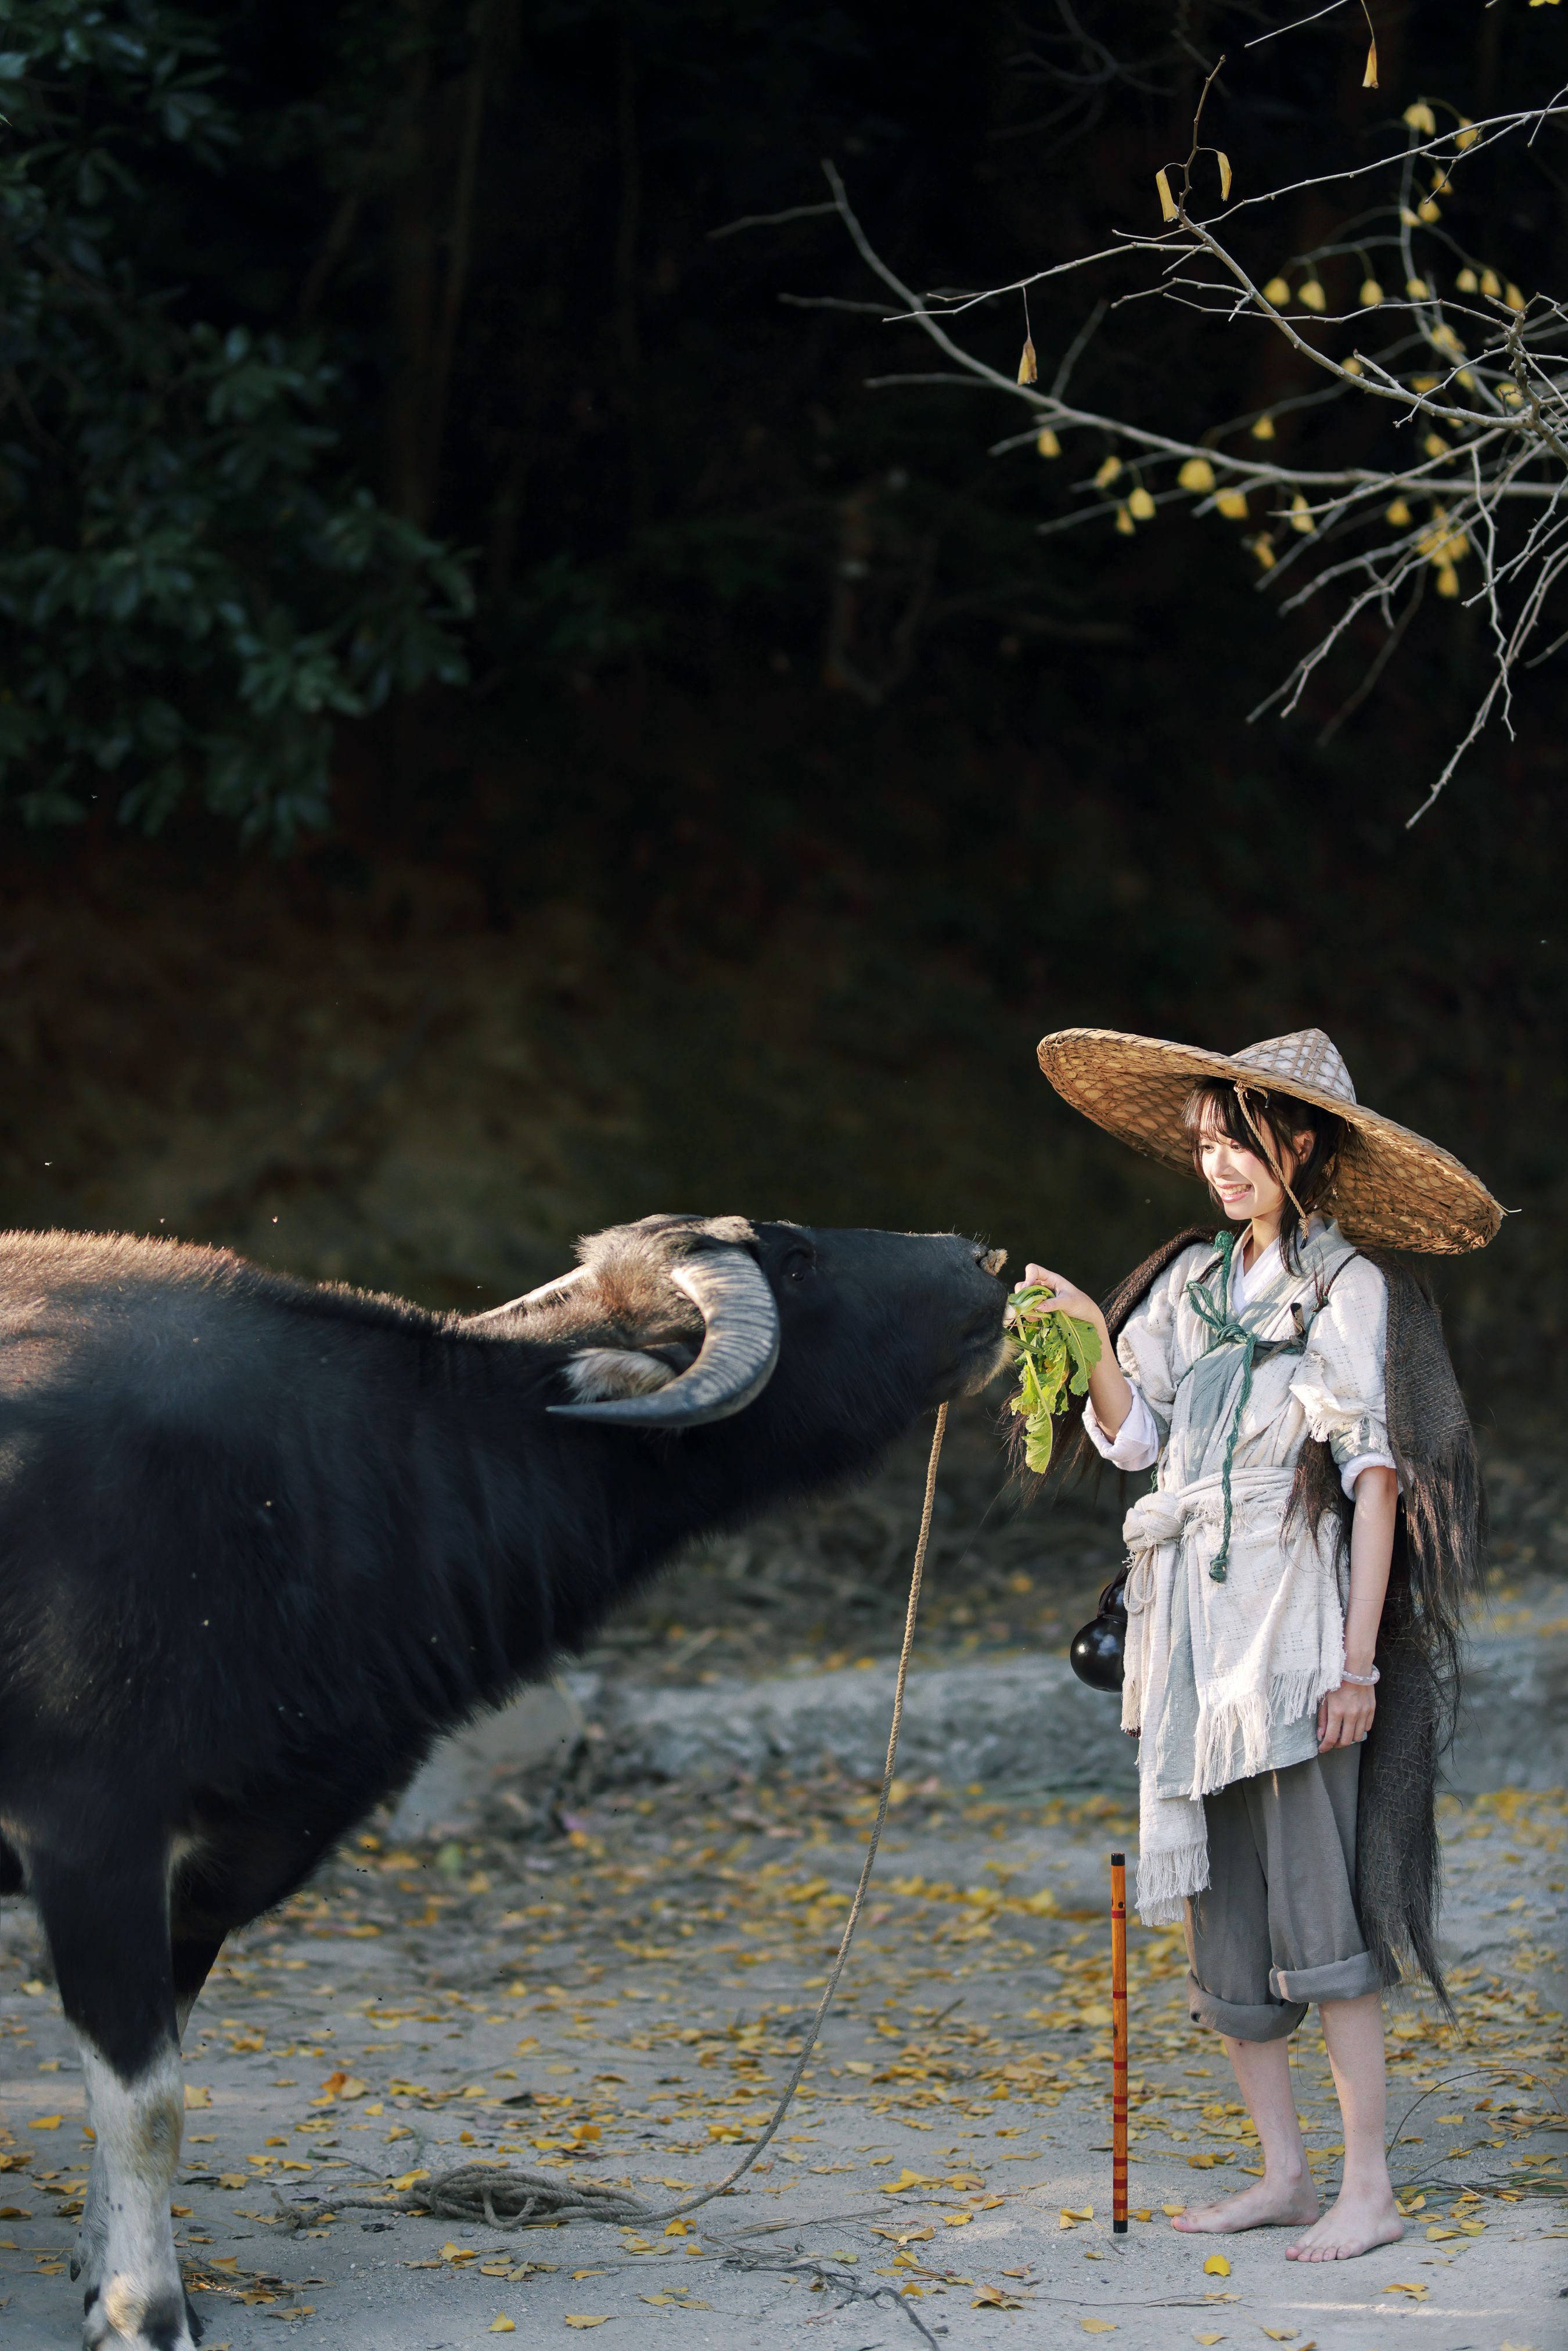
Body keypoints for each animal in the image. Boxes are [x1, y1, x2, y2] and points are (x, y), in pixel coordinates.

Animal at [0, 1213, 1006, 2350]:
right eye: (797, 1263)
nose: (982, 1260)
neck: (316, 1484)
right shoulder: (92, 1838)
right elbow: (146, 2104)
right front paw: (145, 2311)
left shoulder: (213, 1865)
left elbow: (146, 2082)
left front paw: (101, 2270)